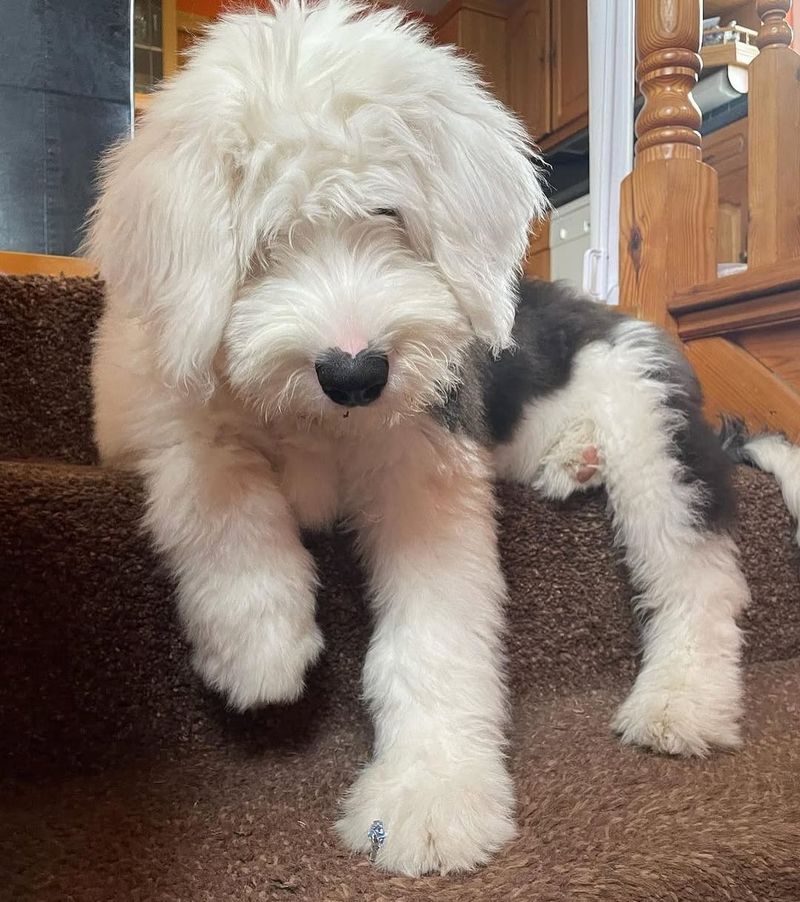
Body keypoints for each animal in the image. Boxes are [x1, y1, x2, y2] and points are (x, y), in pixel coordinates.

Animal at [90, 0, 752, 876]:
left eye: (386, 213)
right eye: (268, 237)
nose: (355, 373)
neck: (319, 422)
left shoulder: (425, 461)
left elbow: (436, 624)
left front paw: (430, 797)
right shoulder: (132, 408)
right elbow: (210, 468)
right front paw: (259, 645)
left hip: (651, 419)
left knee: (696, 575)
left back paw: (682, 702)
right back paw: (569, 458)